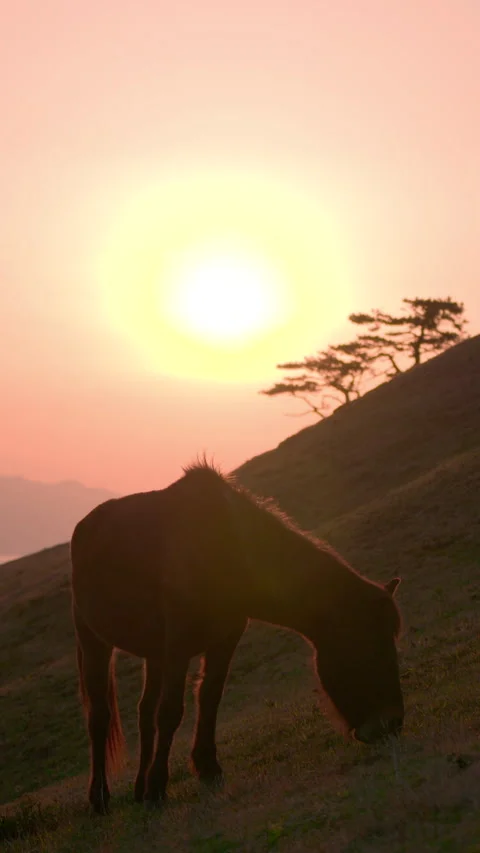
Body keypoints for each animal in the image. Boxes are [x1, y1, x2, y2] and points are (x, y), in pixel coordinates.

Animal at [71, 460, 404, 814]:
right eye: (366, 645)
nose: (393, 723)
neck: (226, 552)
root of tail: (84, 527)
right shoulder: (178, 646)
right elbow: (171, 712)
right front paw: (158, 788)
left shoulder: (224, 639)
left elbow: (209, 697)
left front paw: (206, 767)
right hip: (94, 641)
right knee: (100, 717)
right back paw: (100, 797)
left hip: (153, 654)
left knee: (145, 711)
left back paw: (138, 787)